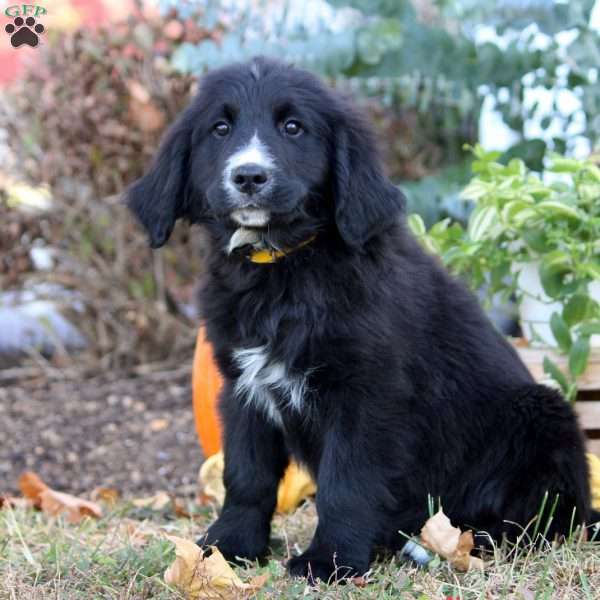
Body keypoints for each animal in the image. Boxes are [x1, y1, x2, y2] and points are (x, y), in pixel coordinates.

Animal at [127, 56, 596, 580]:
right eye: (220, 129)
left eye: (293, 128)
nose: (249, 176)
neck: (283, 271)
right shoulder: (242, 389)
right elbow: (246, 475)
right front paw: (226, 549)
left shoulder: (367, 396)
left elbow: (345, 483)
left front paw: (328, 560)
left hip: (542, 416)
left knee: (540, 520)